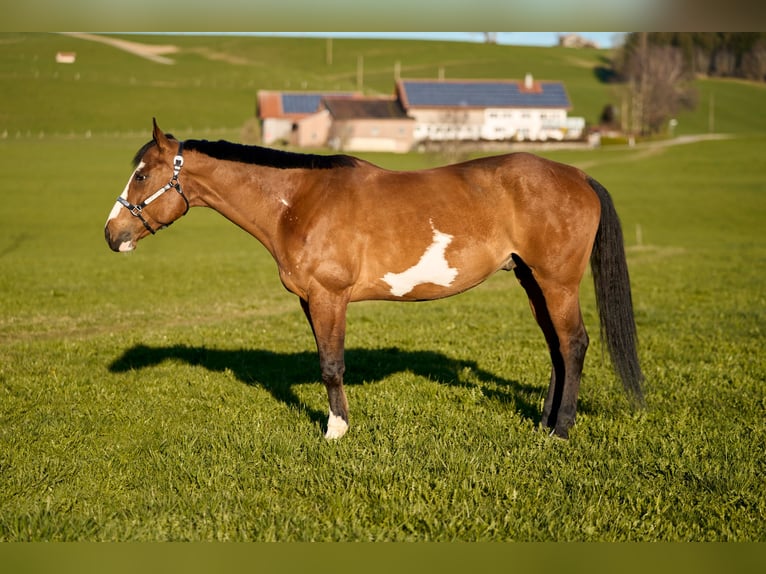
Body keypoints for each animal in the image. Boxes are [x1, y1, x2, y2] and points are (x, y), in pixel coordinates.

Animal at [105, 120, 644, 440]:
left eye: (141, 175)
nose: (113, 234)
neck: (299, 202)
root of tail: (577, 176)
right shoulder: (309, 301)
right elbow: (326, 363)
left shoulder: (329, 297)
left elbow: (331, 366)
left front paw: (336, 431)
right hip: (531, 280)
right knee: (556, 348)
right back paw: (545, 421)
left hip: (557, 282)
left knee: (573, 343)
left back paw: (561, 430)